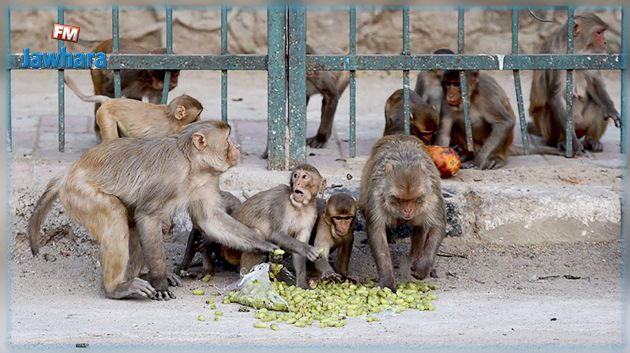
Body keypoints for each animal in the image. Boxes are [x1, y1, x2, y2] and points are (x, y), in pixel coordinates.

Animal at [26, 120, 278, 300]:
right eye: (227, 140)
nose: (237, 148)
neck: (192, 165)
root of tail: (68, 173)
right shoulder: (170, 177)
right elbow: (147, 216)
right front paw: (159, 281)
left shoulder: (205, 182)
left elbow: (209, 219)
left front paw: (263, 244)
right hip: (81, 193)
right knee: (115, 214)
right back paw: (116, 287)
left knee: (130, 223)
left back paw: (139, 275)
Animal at [360, 133, 450, 290]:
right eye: (400, 199)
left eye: (414, 199)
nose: (408, 210)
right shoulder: (377, 196)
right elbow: (376, 231)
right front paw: (387, 280)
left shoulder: (432, 197)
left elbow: (438, 226)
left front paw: (422, 267)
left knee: (421, 226)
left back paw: (415, 256)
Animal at [528, 13, 624, 153]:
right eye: (599, 32)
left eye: (602, 32)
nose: (605, 42)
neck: (576, 51)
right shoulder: (555, 57)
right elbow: (556, 97)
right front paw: (573, 144)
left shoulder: (589, 57)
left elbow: (594, 84)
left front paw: (611, 110)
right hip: (548, 132)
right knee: (551, 109)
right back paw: (563, 142)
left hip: (582, 125)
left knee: (598, 105)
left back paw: (591, 140)